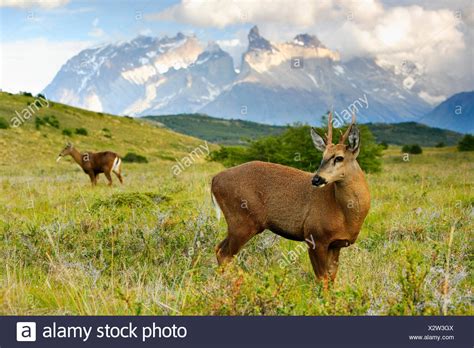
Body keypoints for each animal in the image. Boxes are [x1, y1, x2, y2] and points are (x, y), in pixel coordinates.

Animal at [211, 113, 370, 286]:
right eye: (323, 156)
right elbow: (322, 279)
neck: (345, 214)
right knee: (224, 254)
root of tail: (215, 179)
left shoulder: (336, 245)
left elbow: (331, 278)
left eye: (339, 158)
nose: (316, 179)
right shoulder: (315, 236)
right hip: (242, 221)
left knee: (219, 249)